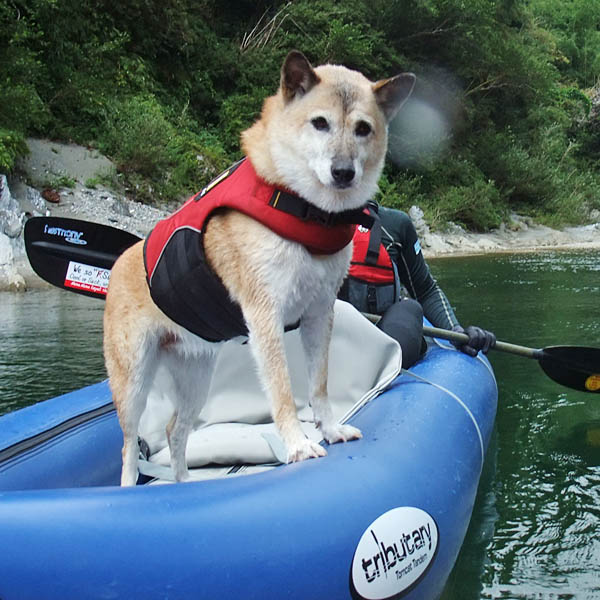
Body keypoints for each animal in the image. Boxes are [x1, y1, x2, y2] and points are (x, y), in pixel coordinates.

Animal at [103, 49, 414, 486]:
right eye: (320, 123)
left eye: (363, 129)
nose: (343, 172)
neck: (307, 211)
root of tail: (117, 265)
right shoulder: (265, 314)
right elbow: (282, 390)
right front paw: (298, 445)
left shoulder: (320, 313)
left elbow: (319, 385)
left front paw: (331, 429)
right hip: (132, 382)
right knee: (130, 446)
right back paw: (131, 488)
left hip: (196, 376)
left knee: (175, 430)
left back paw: (182, 486)